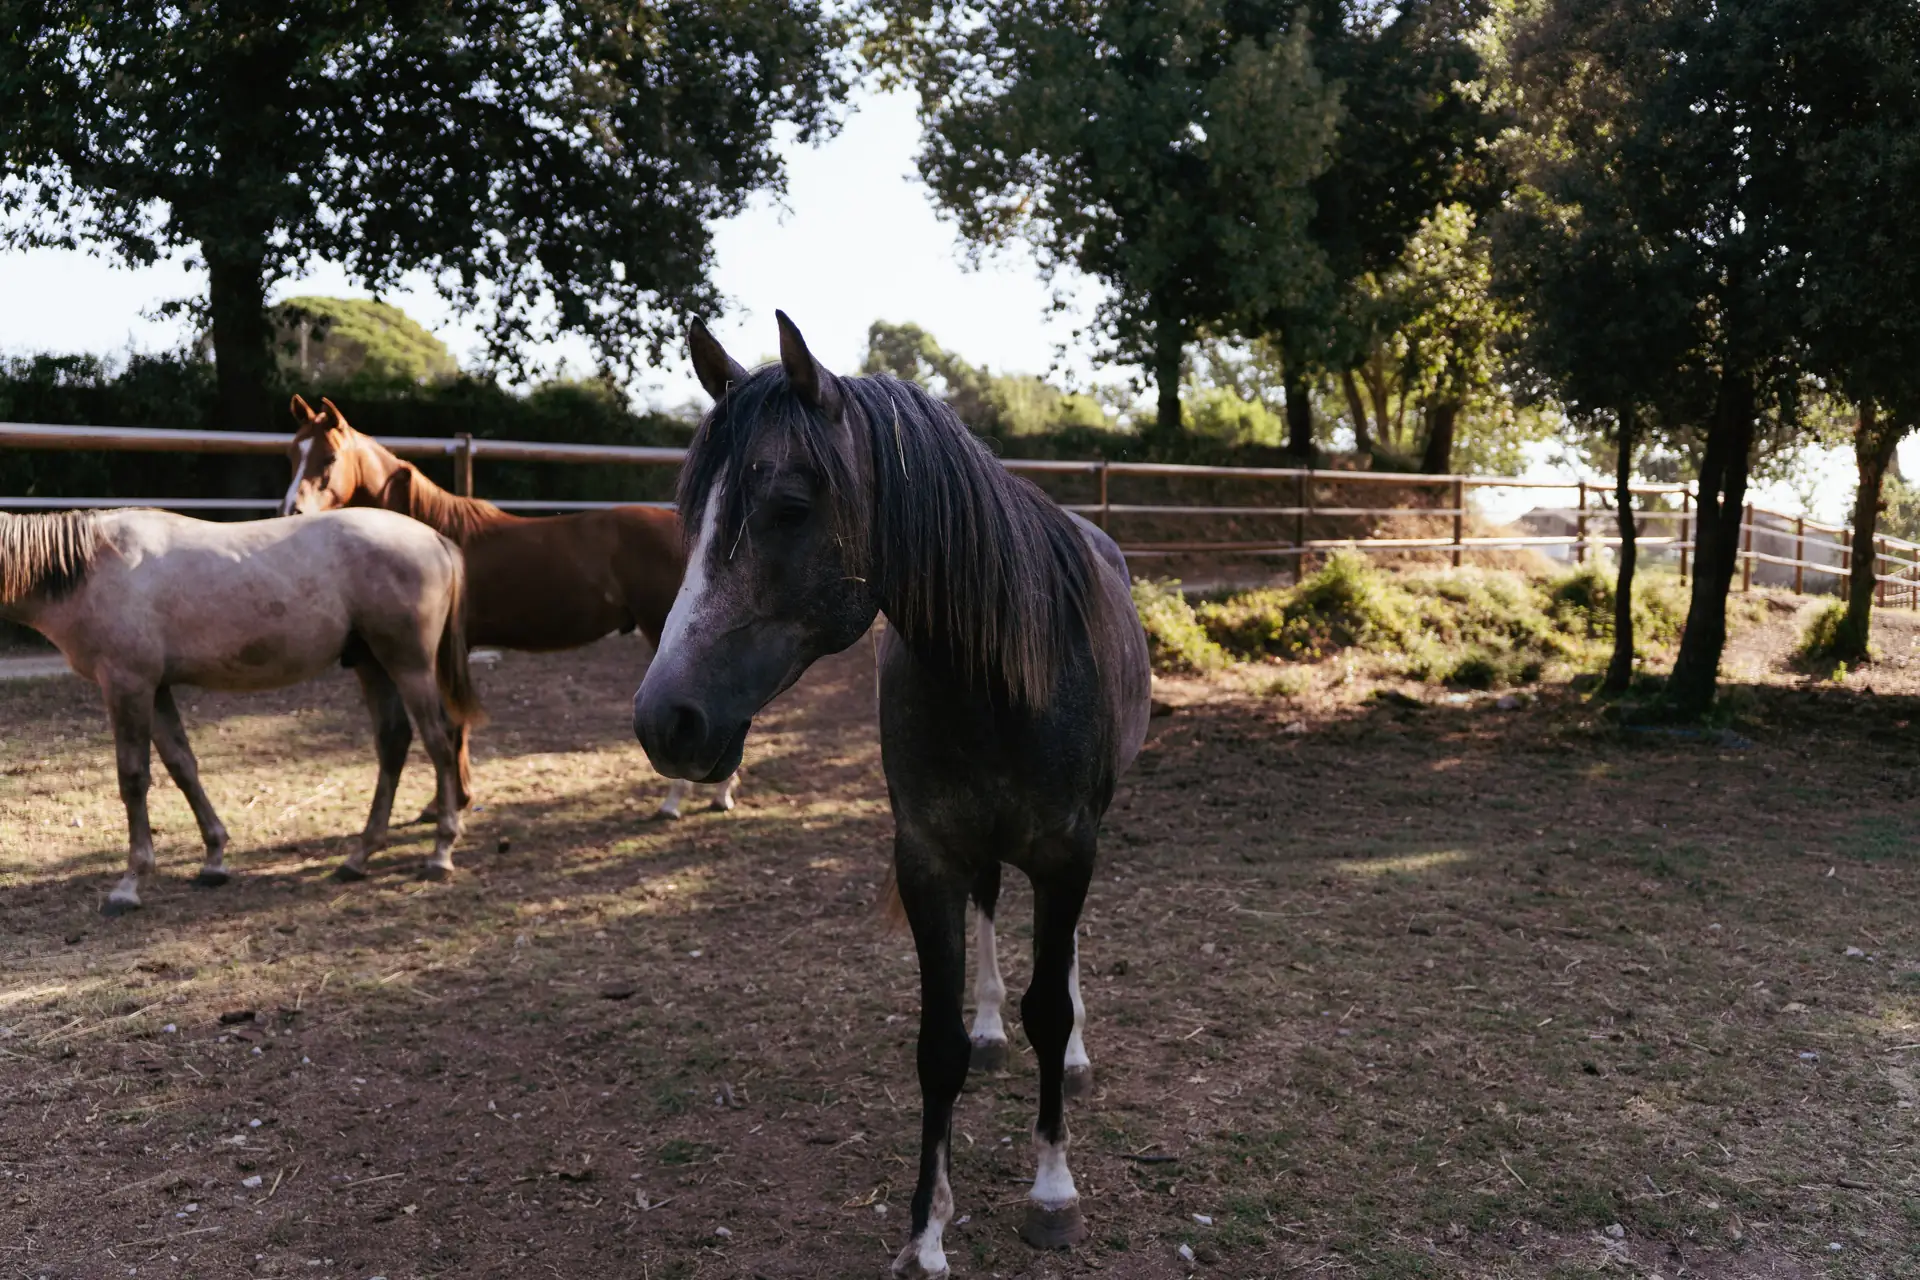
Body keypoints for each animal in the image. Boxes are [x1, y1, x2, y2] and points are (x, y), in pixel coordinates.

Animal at [0, 507, 483, 914]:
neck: (90, 568)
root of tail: (435, 538)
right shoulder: (156, 689)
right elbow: (183, 766)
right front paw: (214, 859)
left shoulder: (127, 685)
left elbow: (134, 779)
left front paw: (130, 883)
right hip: (372, 664)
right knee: (394, 742)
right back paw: (358, 857)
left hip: (408, 664)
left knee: (439, 741)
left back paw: (440, 852)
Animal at [280, 396, 738, 819]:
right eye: (292, 453)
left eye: (330, 456)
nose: (292, 511)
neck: (433, 534)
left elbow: (454, 724)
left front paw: (451, 803)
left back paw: (677, 800)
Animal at [631, 314, 1150, 1277]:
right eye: (692, 517)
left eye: (789, 508)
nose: (664, 720)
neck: (1001, 678)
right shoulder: (929, 855)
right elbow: (937, 1045)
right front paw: (926, 1235)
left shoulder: (1069, 848)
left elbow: (1052, 1005)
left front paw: (1052, 1191)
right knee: (993, 913)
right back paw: (992, 1031)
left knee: (1060, 967)